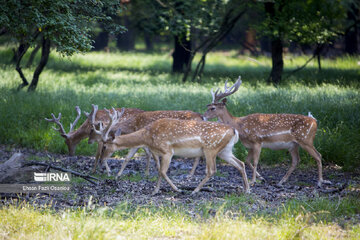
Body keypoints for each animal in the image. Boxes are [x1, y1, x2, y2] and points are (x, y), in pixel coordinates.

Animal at [94, 108, 249, 195]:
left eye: (104, 146)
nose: (101, 160)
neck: (147, 136)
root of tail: (234, 131)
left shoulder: (168, 150)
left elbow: (163, 171)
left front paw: (177, 189)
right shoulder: (158, 152)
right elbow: (158, 170)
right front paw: (155, 191)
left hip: (210, 148)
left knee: (212, 170)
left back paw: (194, 191)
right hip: (225, 151)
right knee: (240, 163)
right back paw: (247, 190)